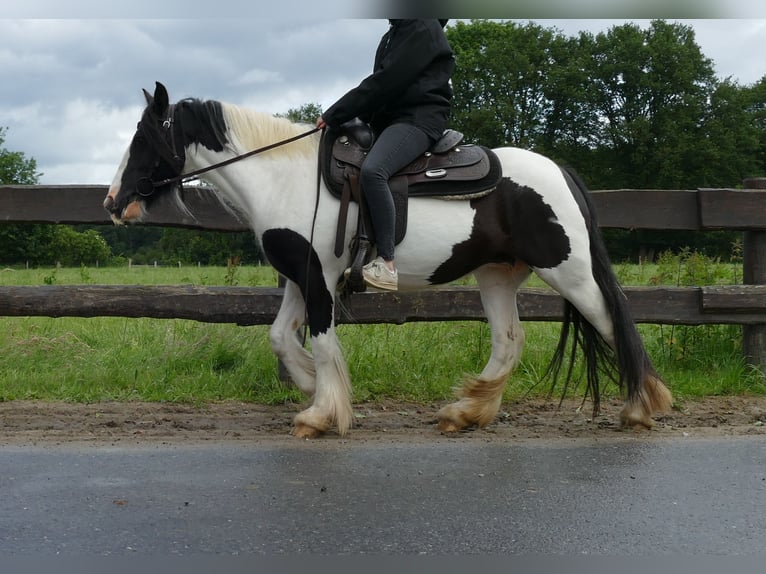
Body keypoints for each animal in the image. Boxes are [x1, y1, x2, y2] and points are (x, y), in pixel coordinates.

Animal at [103, 82, 672, 440]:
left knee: (614, 323)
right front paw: (310, 387)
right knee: (509, 341)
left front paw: (322, 413)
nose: (113, 202)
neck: (284, 177)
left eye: (143, 138)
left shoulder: (319, 277)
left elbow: (323, 341)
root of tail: (559, 171)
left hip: (569, 271)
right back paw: (465, 412)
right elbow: (282, 337)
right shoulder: (300, 276)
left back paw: (641, 408)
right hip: (496, 275)